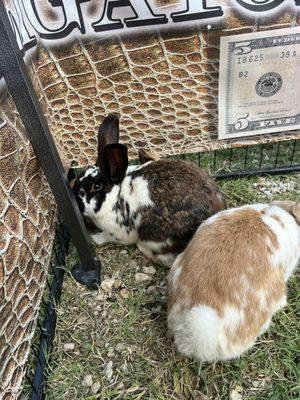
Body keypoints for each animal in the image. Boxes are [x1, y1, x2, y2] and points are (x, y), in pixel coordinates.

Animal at [73, 114, 227, 268]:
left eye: (96, 186)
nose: (76, 201)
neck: (116, 195)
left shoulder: (117, 232)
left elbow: (107, 237)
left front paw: (94, 238)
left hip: (152, 233)